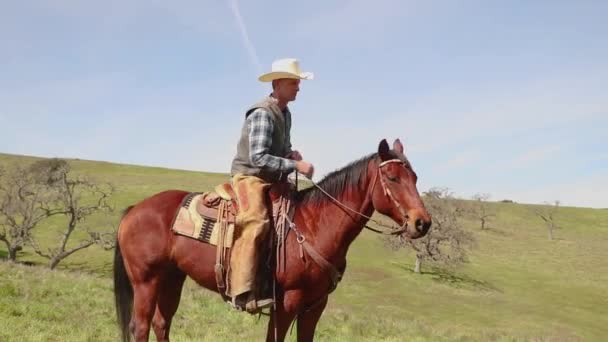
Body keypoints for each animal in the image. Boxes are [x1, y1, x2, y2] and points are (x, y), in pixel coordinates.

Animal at [111, 138, 430, 340]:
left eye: (415, 177)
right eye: (392, 178)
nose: (422, 222)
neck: (314, 225)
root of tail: (134, 210)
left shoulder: (315, 306)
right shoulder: (287, 303)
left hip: (171, 278)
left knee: (161, 324)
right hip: (146, 280)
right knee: (140, 327)